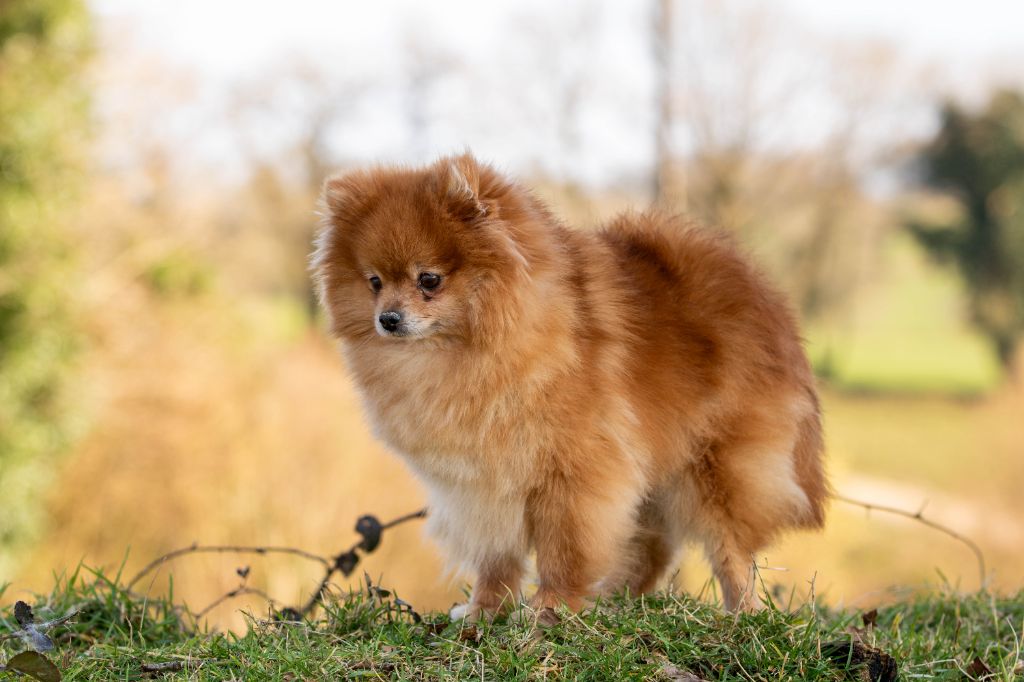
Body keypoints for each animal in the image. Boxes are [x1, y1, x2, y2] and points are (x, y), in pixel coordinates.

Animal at [312, 153, 826, 619]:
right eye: (374, 282)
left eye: (429, 280)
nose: (388, 318)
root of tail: (765, 299)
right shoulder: (483, 485)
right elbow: (496, 558)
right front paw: (485, 613)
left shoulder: (576, 474)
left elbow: (564, 552)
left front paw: (551, 612)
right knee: (654, 548)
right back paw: (614, 602)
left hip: (714, 464)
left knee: (729, 547)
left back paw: (741, 612)